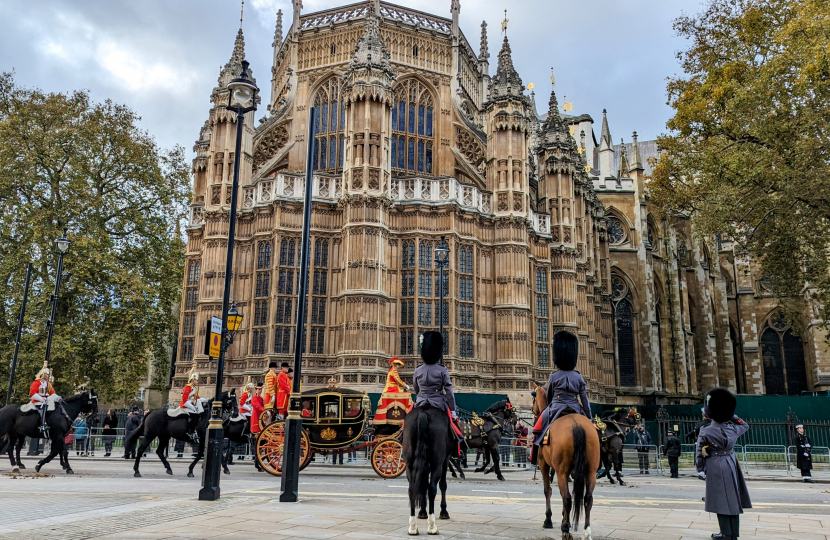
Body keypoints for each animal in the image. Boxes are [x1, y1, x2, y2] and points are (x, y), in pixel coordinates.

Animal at [404, 404, 456, 536]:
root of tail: (424, 412)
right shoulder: (446, 459)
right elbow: (442, 484)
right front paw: (443, 511)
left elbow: (422, 485)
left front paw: (422, 511)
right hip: (437, 463)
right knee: (432, 488)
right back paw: (432, 526)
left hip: (409, 463)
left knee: (412, 489)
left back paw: (413, 526)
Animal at [536, 386, 600, 536]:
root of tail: (577, 425)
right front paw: (566, 519)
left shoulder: (543, 464)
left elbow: (548, 490)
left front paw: (549, 520)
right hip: (590, 471)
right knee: (587, 498)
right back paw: (586, 530)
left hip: (562, 471)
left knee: (567, 497)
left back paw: (565, 528)